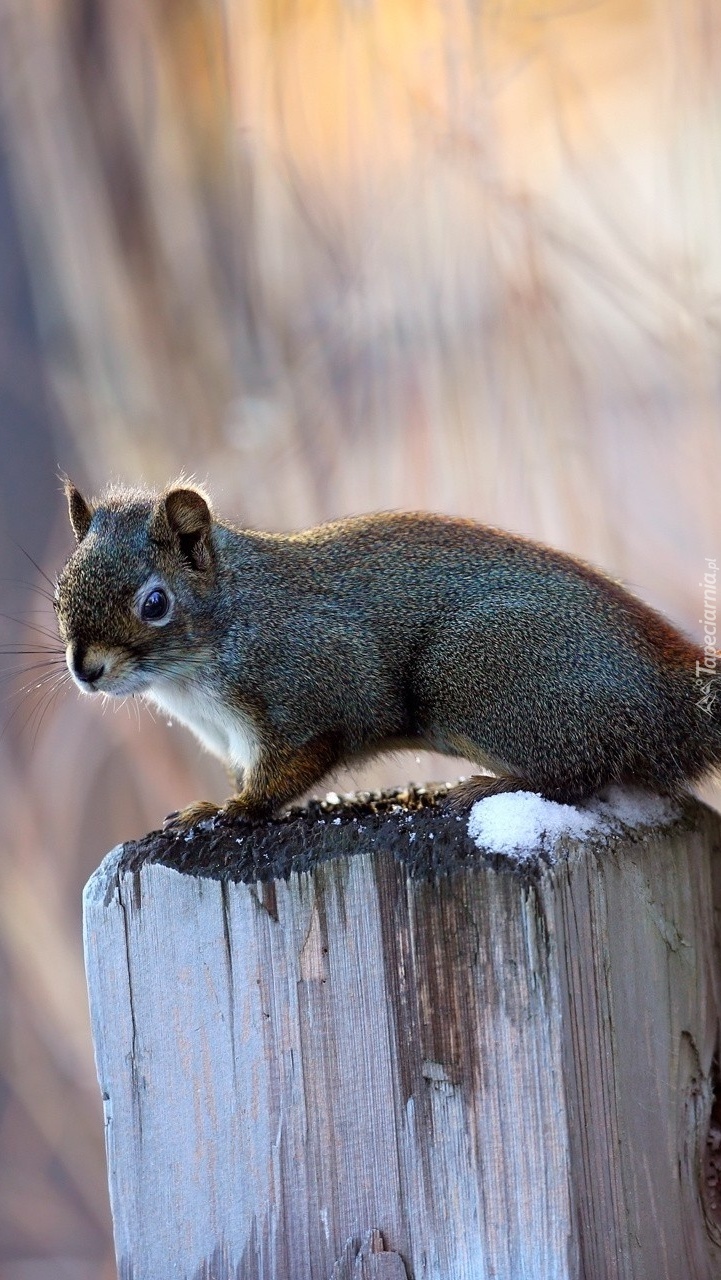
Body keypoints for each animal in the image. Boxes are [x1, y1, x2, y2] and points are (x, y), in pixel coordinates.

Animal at [55, 481, 721, 829]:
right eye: (60, 590)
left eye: (155, 603)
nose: (85, 670)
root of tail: (671, 690)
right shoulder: (230, 742)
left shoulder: (311, 690)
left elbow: (289, 769)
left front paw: (230, 808)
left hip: (472, 676)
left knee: (580, 771)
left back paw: (486, 787)